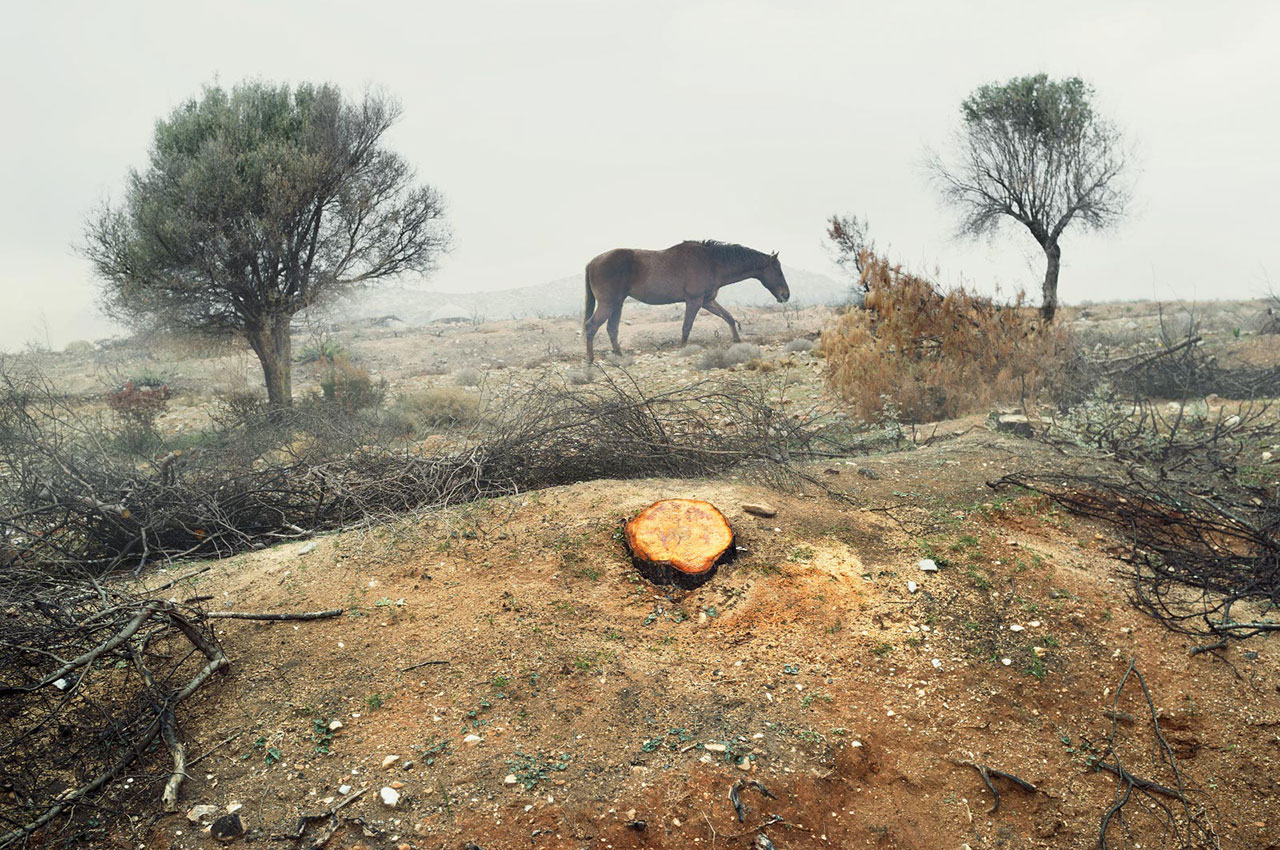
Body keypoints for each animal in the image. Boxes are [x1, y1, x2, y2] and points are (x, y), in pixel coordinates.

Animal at [583, 239, 783, 360]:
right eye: (778, 270)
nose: (785, 295)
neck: (711, 262)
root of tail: (592, 262)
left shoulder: (707, 301)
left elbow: (728, 317)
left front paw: (737, 341)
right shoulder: (694, 301)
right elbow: (686, 327)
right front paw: (683, 349)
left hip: (617, 304)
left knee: (611, 329)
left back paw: (619, 355)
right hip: (608, 304)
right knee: (591, 326)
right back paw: (590, 360)